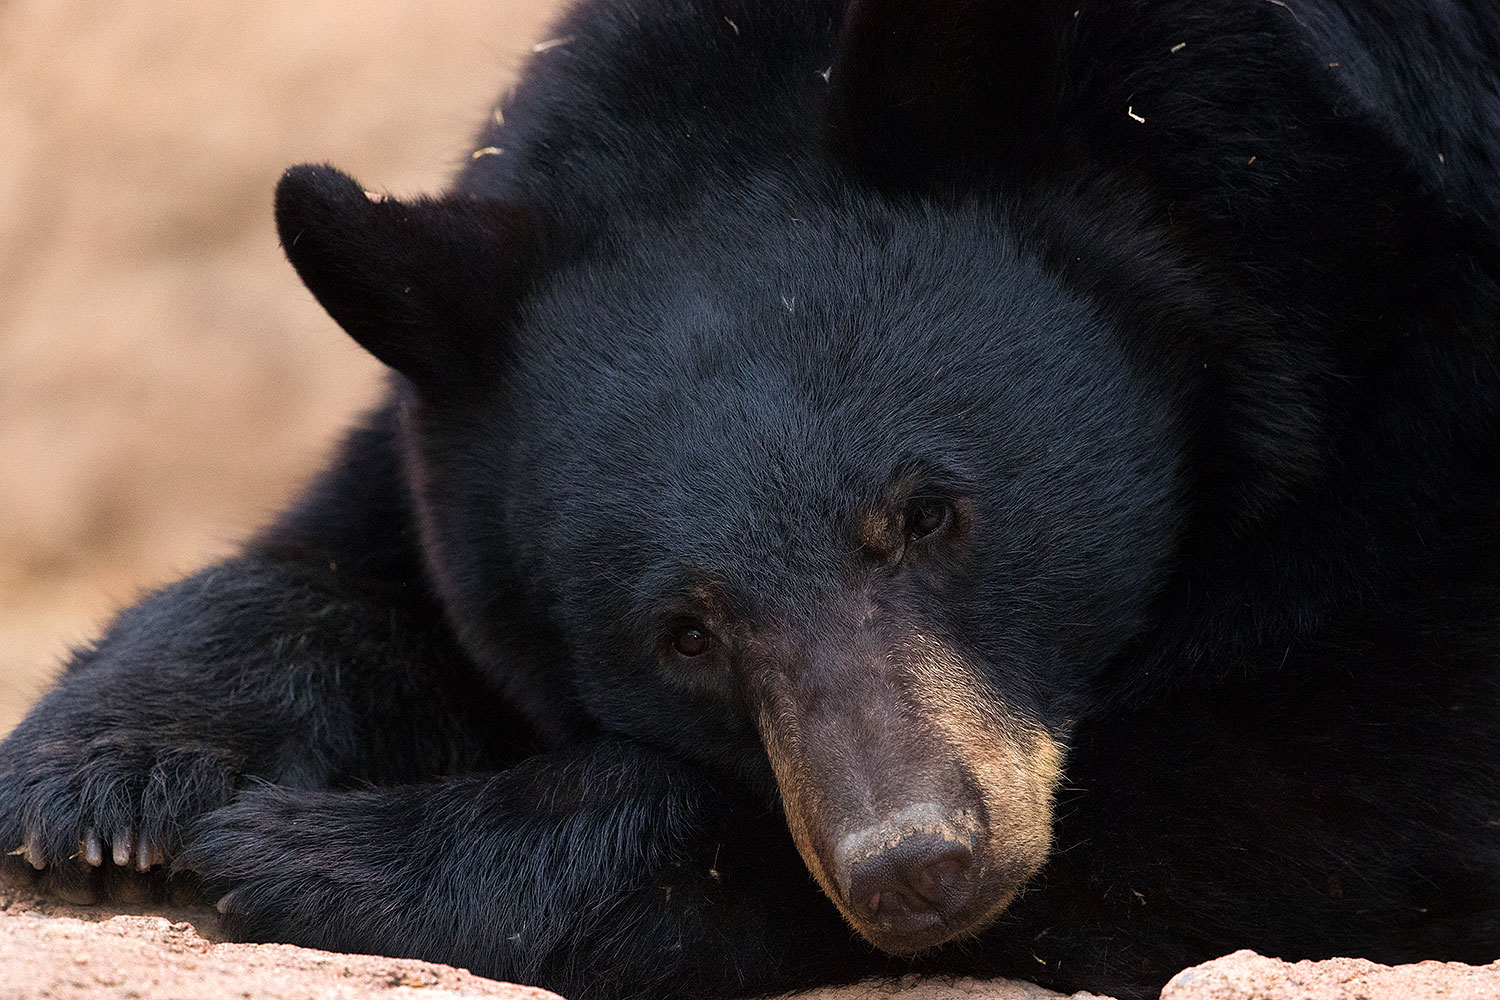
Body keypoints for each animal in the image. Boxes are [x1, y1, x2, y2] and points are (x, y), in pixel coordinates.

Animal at [2, 1, 1499, 998]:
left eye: (930, 514)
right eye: (684, 632)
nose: (915, 864)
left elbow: (1365, 767)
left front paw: (332, 852)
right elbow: (347, 555)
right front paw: (105, 782)